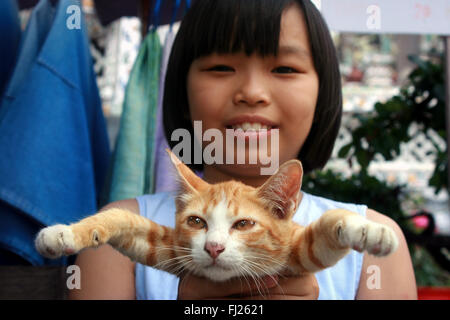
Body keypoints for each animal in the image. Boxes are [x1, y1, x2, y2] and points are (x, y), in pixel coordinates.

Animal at [35, 149, 398, 282]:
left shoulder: (298, 254)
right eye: (196, 221)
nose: (213, 248)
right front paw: (64, 233)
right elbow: (123, 220)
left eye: (244, 224)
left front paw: (370, 230)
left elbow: (328, 224)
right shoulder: (170, 248)